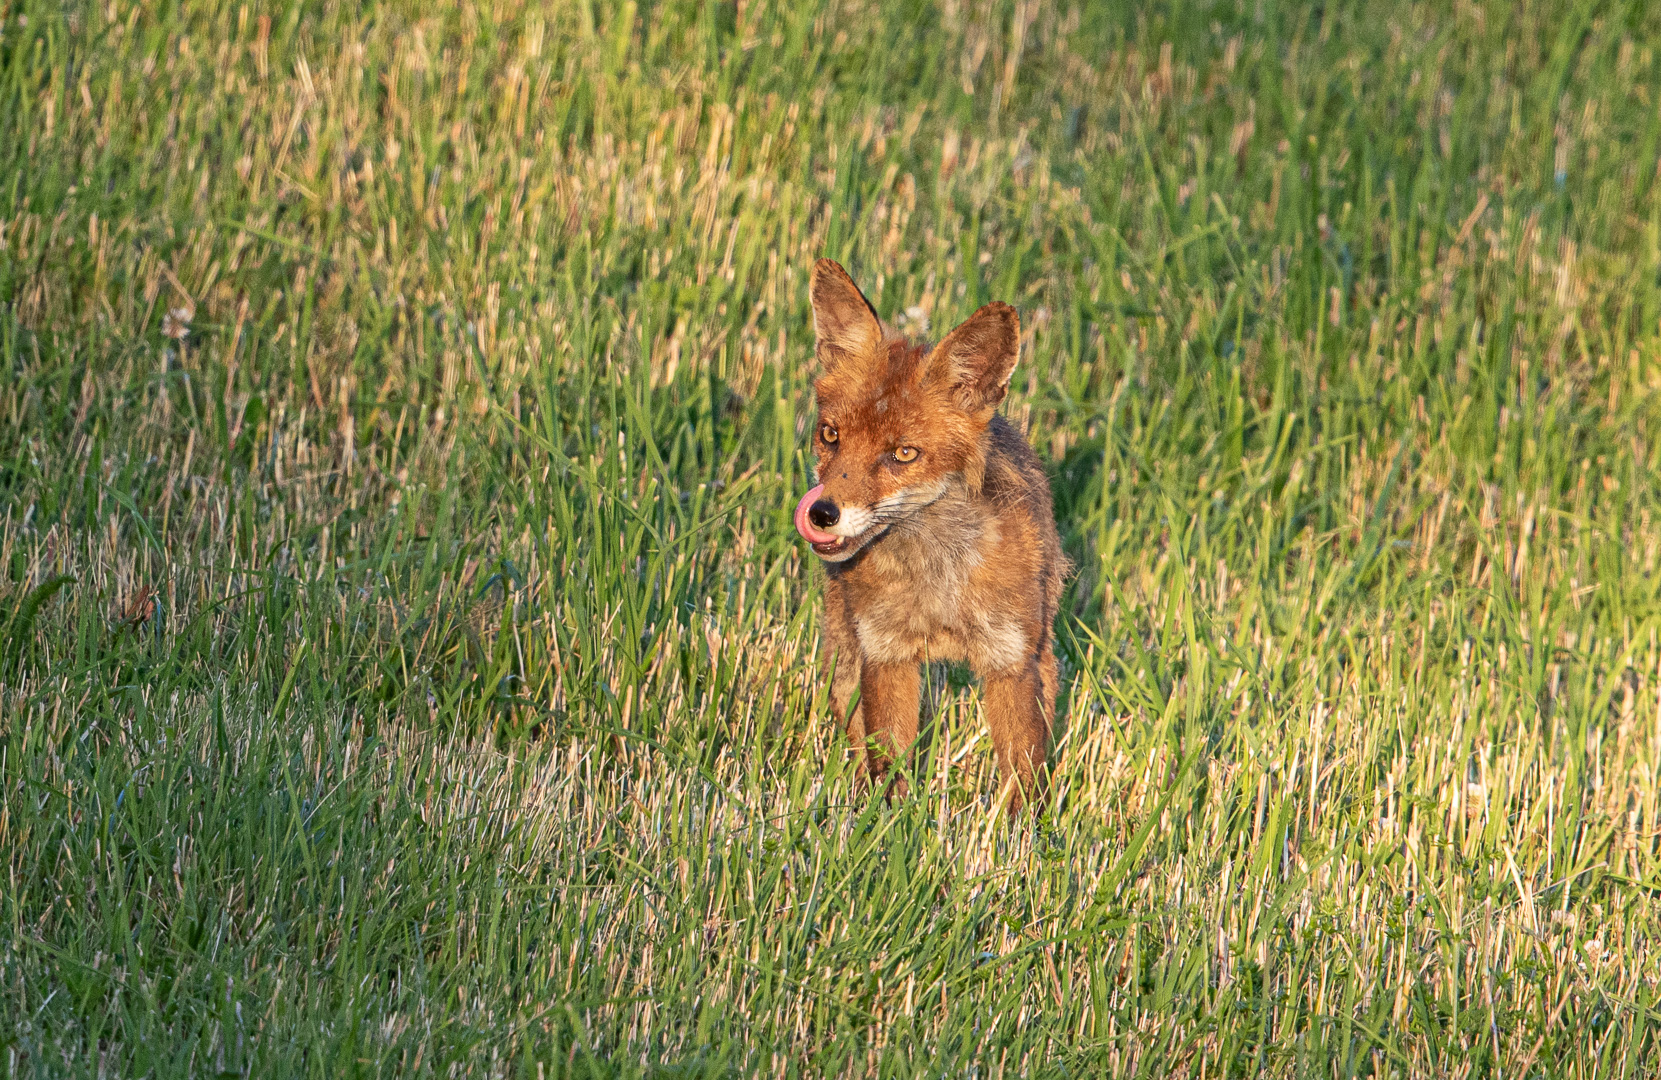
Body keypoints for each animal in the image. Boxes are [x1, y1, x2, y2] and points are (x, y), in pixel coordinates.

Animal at [790, 255, 1063, 804]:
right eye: (830, 435)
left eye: (903, 453)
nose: (822, 514)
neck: (937, 584)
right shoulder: (885, 654)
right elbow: (888, 765)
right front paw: (889, 820)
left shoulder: (1010, 660)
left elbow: (1021, 778)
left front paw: (1025, 829)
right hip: (845, 660)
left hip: (1043, 653)